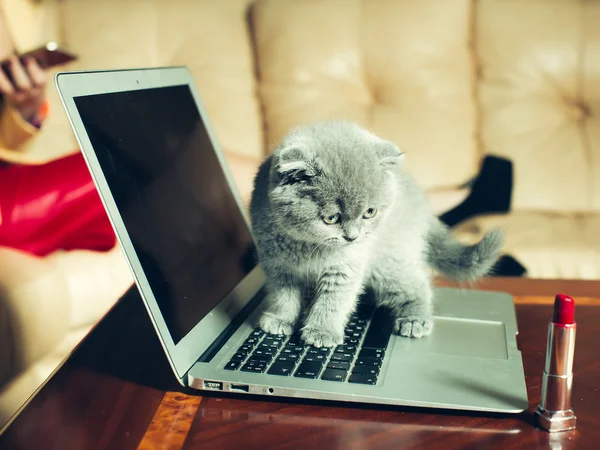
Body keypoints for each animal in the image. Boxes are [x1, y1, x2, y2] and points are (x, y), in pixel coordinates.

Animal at [248, 119, 502, 348]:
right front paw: (280, 319)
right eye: (331, 218)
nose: (352, 237)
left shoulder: (347, 266)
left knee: (417, 284)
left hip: (389, 261)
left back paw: (414, 319)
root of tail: (423, 205)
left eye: (369, 213)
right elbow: (283, 296)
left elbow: (333, 300)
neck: (308, 246)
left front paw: (322, 331)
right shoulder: (278, 267)